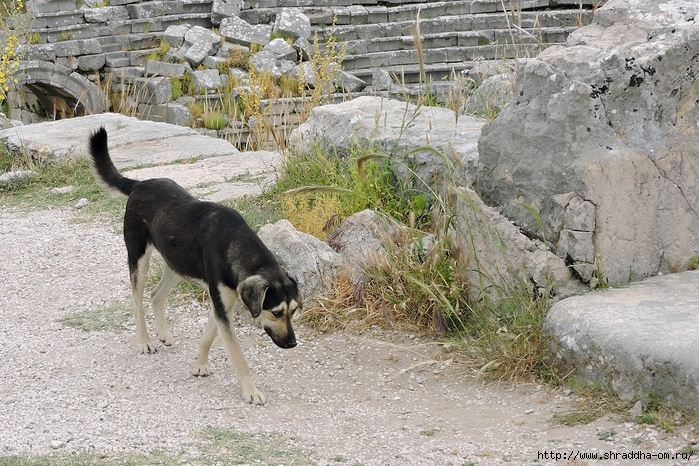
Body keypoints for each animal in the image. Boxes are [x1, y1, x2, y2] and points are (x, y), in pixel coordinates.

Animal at [87, 127, 300, 404]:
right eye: (275, 312)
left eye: (294, 311)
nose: (293, 344)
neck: (236, 246)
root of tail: (141, 184)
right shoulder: (221, 305)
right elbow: (238, 355)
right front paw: (250, 391)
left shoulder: (223, 303)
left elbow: (209, 336)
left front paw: (199, 364)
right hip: (139, 258)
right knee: (137, 301)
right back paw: (144, 341)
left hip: (177, 263)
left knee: (156, 295)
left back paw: (163, 333)